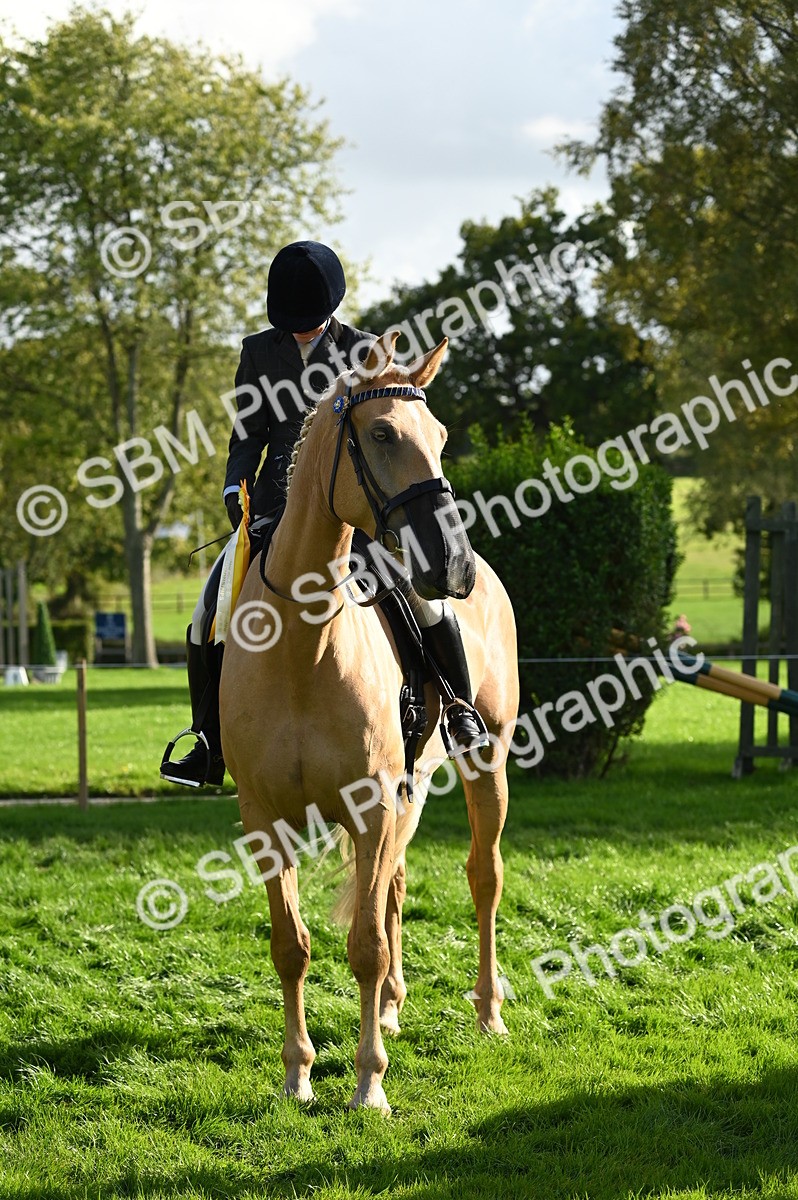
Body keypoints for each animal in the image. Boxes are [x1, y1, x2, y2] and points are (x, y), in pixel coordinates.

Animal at [220, 331, 519, 1113]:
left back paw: (487, 1012)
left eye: (440, 436)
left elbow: (365, 946)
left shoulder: (374, 803)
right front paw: (298, 1075)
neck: (302, 647)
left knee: (483, 877)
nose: (453, 567)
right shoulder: (264, 817)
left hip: (483, 762)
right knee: (394, 888)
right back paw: (390, 1006)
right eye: (382, 434)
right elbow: (292, 946)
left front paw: (369, 1084)